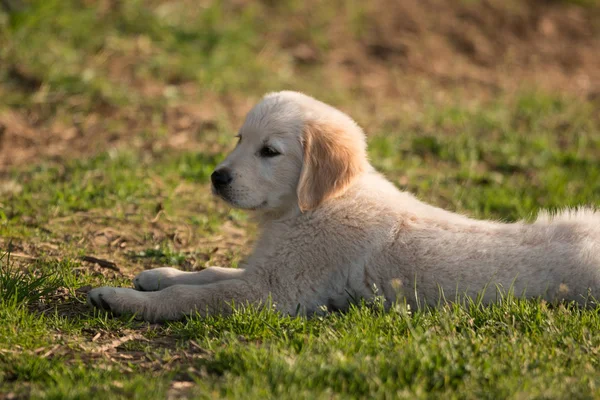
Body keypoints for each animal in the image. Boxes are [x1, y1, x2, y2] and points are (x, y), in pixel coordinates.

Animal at [88, 91, 600, 322]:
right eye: (240, 140)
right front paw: (158, 274)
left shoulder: (274, 291)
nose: (217, 177)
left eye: (269, 152)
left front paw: (120, 298)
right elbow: (209, 273)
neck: (314, 206)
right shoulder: (270, 269)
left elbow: (195, 296)